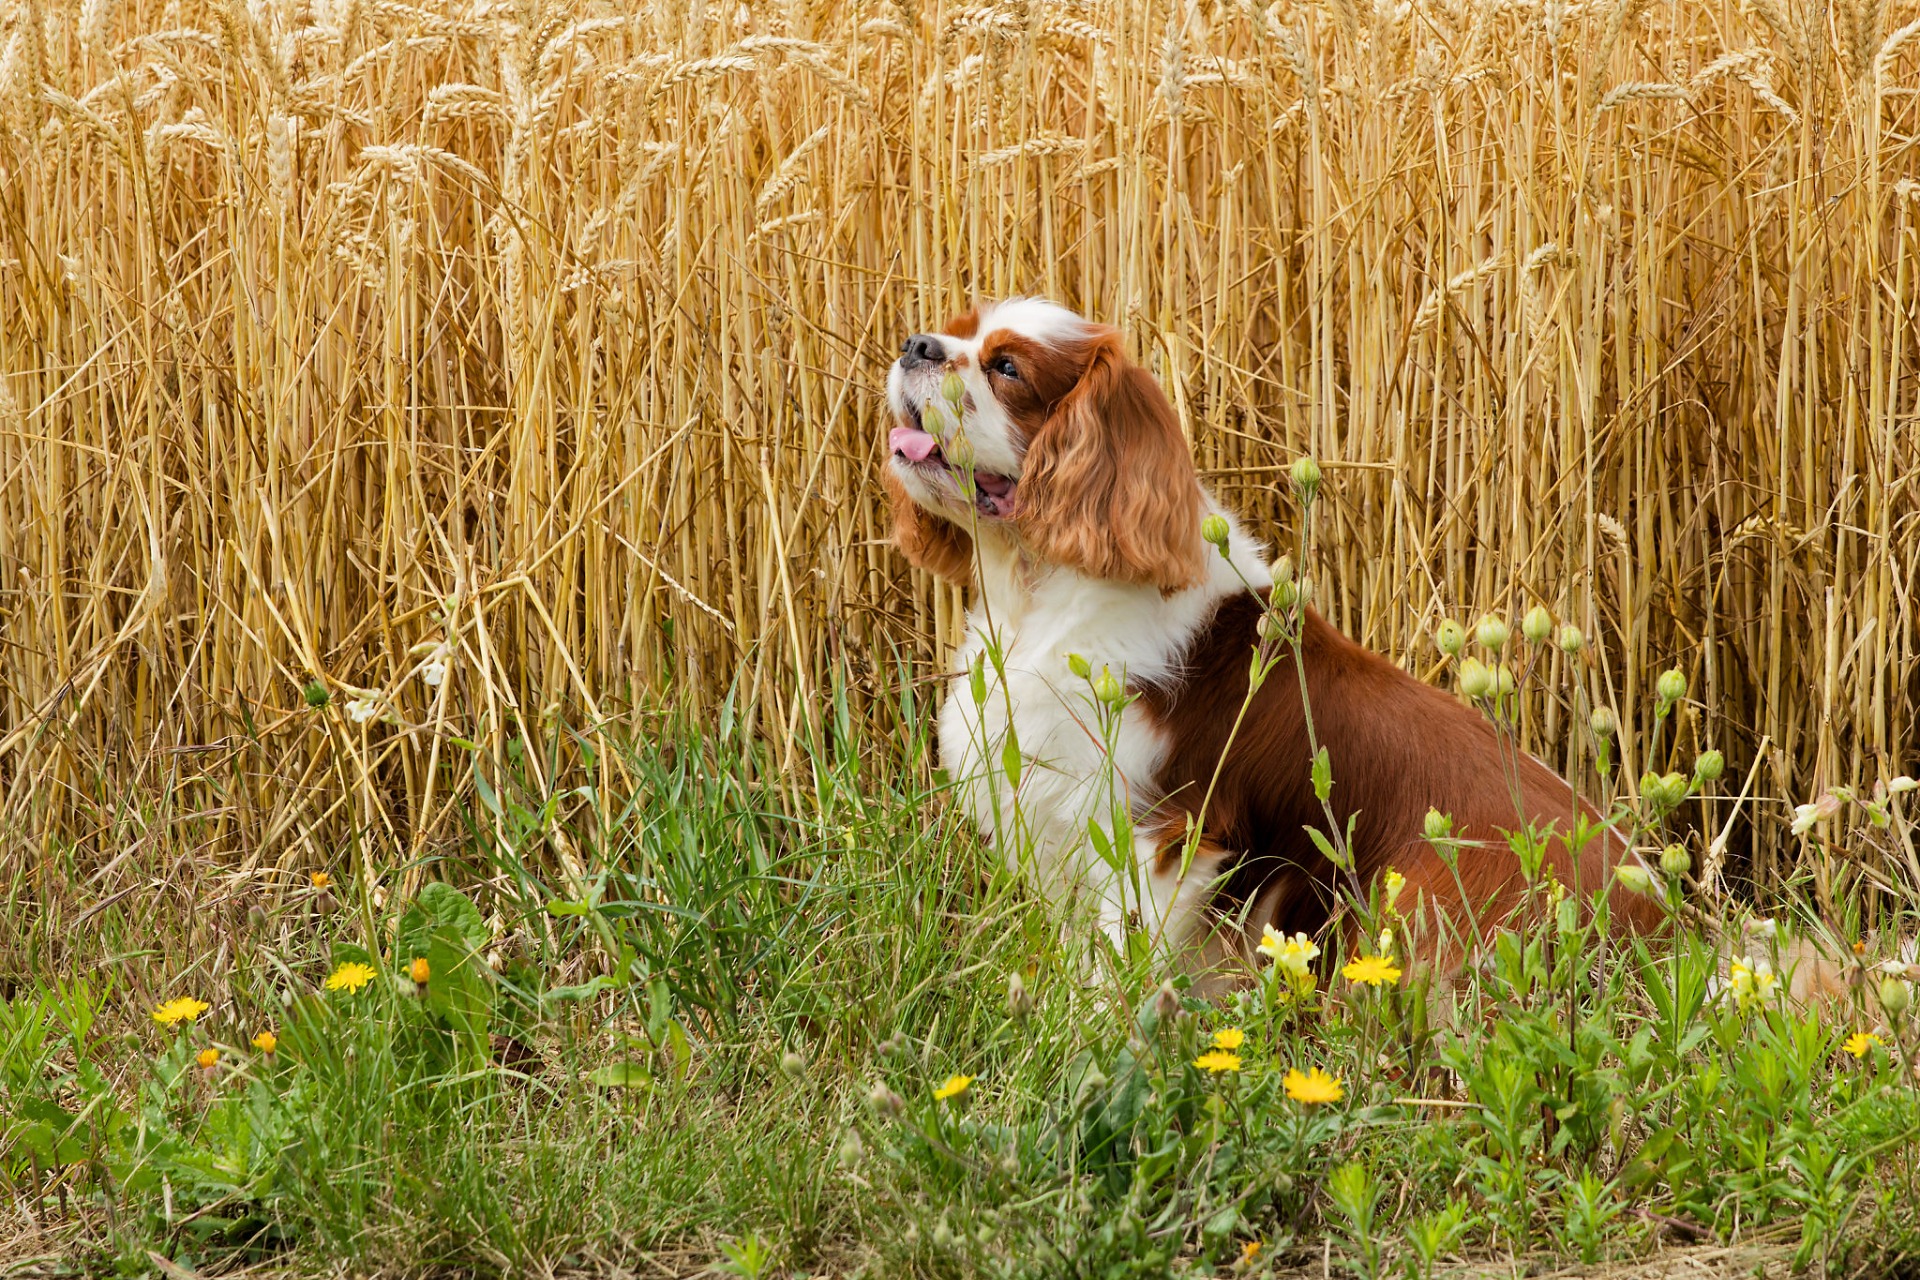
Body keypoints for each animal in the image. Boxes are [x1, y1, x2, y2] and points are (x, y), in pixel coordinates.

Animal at [882, 298, 1665, 973]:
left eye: (1007, 368)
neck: (1042, 593)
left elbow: (1116, 971)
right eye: (953, 332)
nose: (916, 345)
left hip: (1417, 893)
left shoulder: (1167, 834)